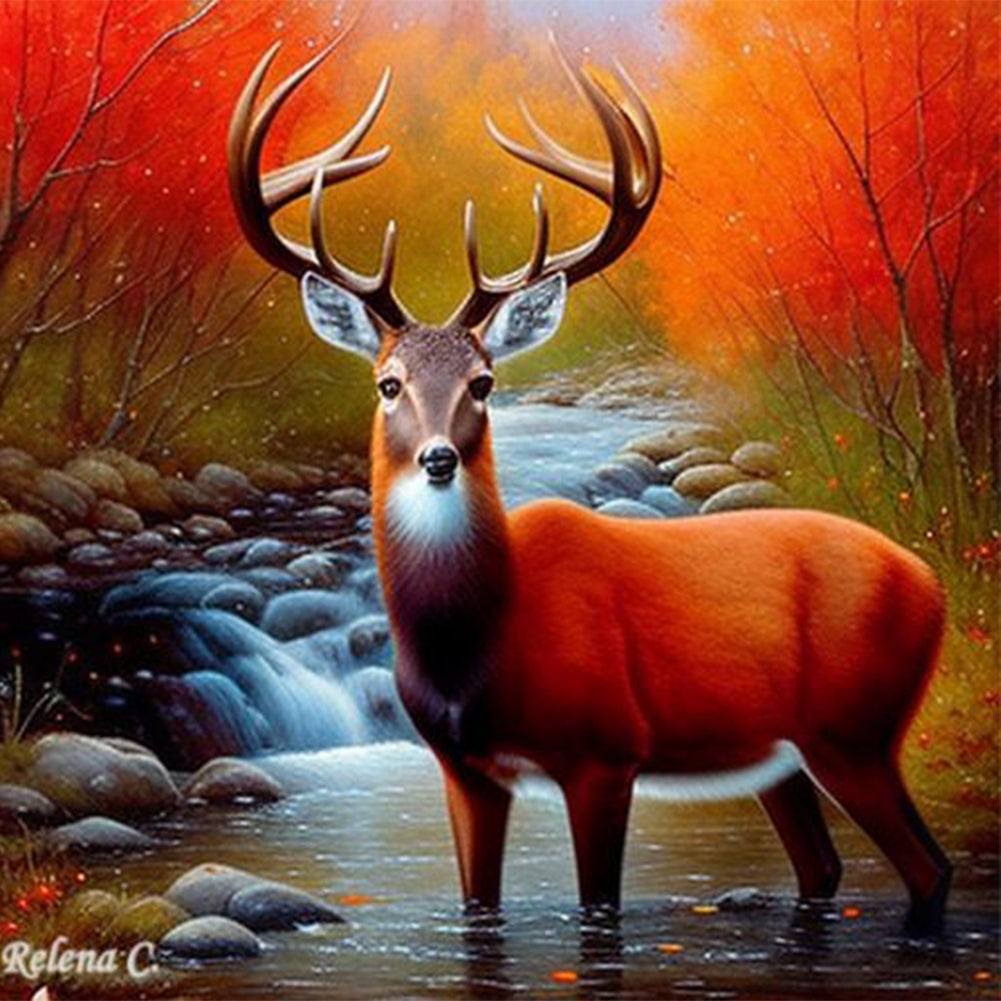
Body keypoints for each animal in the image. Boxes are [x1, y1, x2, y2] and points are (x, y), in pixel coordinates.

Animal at [228, 34, 951, 934]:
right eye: (387, 382)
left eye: (483, 381)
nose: (438, 458)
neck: (481, 641)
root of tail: (931, 584)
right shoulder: (463, 766)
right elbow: (478, 907)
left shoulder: (605, 751)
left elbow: (598, 908)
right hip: (785, 757)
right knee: (822, 867)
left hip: (853, 729)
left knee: (928, 869)